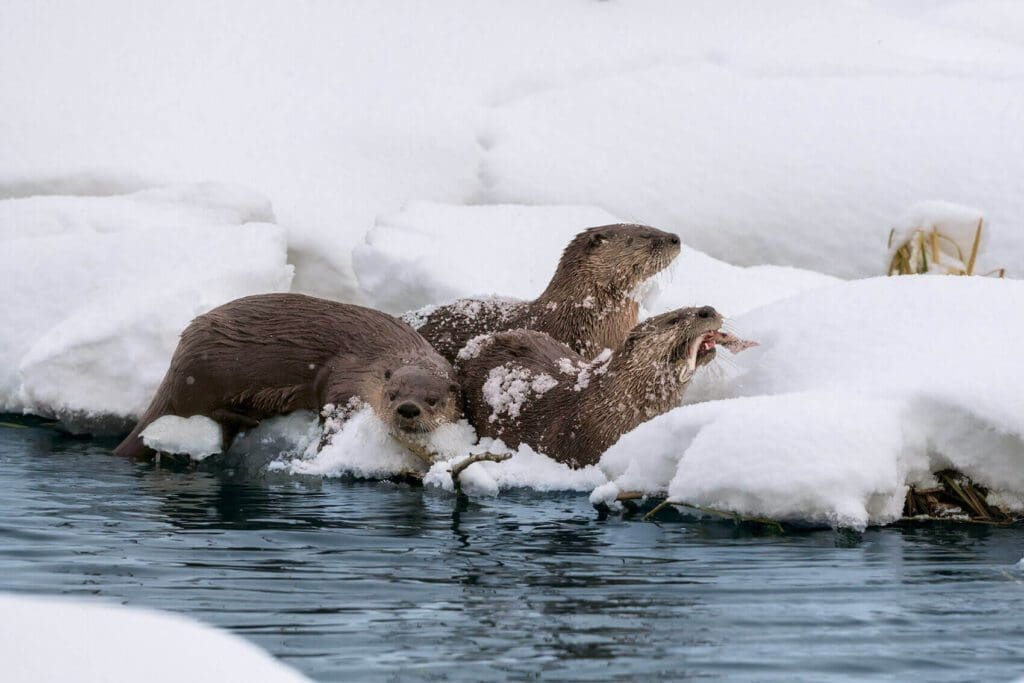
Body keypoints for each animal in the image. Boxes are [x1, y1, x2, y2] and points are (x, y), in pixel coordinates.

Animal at [114, 292, 462, 458]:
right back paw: (248, 417)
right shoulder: (348, 372)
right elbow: (332, 401)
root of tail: (175, 363)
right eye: (393, 394)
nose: (408, 409)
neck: (381, 355)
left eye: (432, 400)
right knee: (203, 409)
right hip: (204, 374)